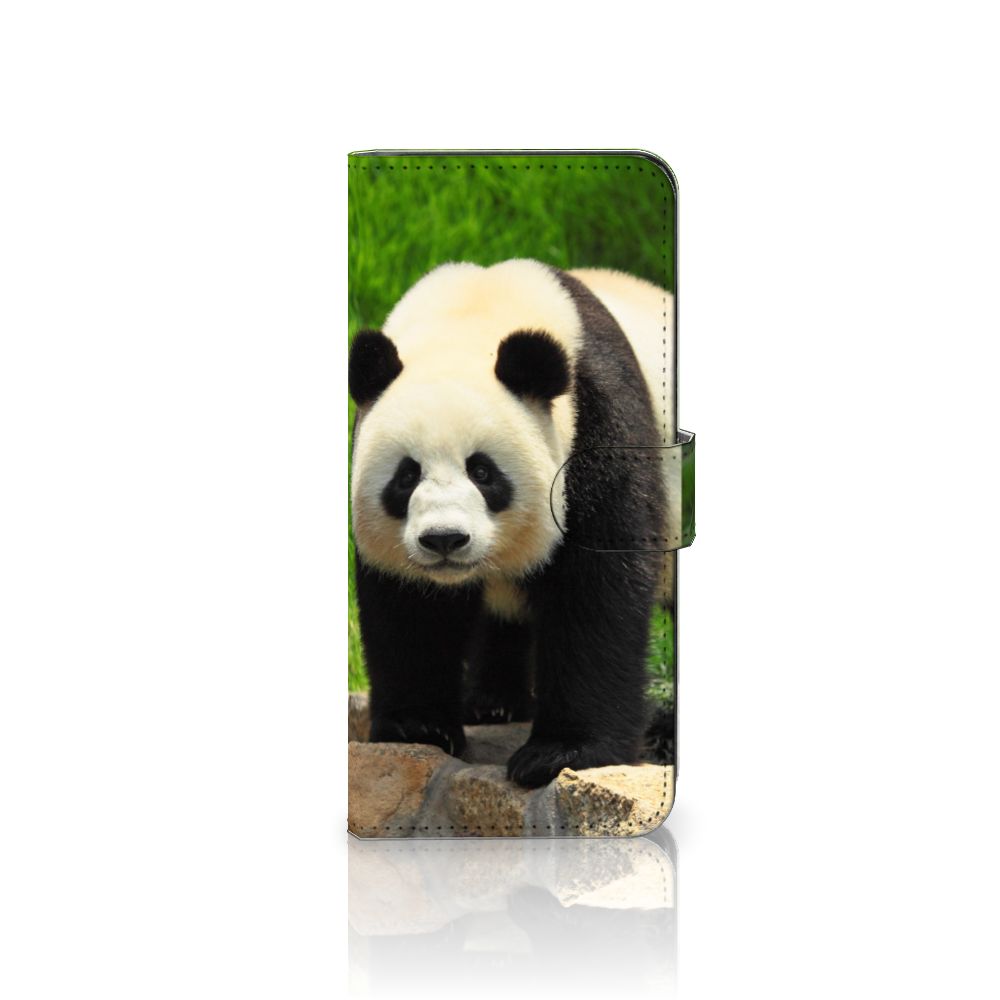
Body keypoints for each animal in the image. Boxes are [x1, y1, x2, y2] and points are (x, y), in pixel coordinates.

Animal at [349, 259, 675, 788]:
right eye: (406, 475)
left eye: (482, 472)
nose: (444, 539)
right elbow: (409, 607)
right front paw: (417, 727)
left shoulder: (599, 423)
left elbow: (597, 591)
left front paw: (560, 752)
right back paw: (493, 703)